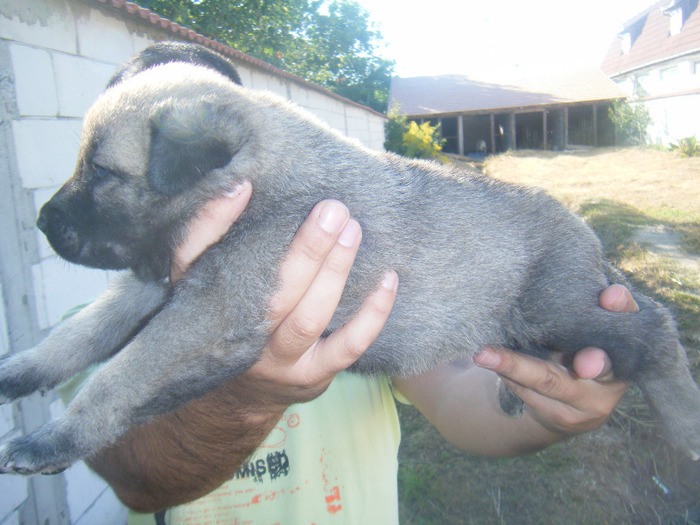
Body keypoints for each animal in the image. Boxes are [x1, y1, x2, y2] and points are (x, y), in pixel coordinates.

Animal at [1, 43, 700, 472]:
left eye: (102, 173)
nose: (41, 221)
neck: (258, 178)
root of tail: (588, 238)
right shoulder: (152, 283)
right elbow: (79, 337)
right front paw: (22, 369)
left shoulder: (211, 312)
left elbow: (119, 376)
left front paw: (53, 437)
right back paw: (513, 389)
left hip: (560, 310)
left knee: (655, 330)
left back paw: (683, 417)